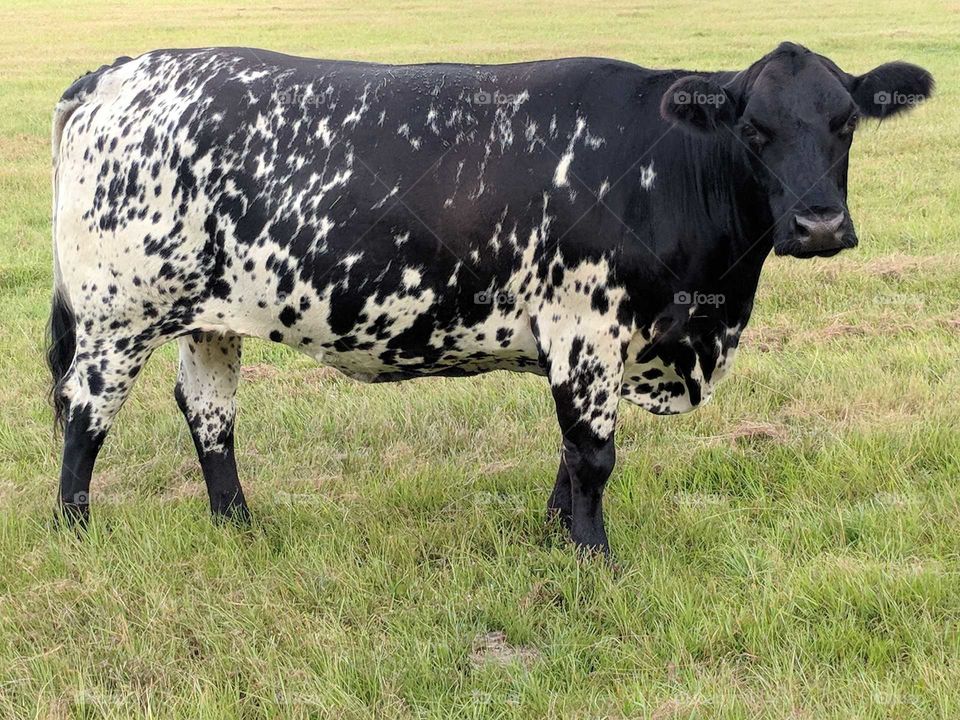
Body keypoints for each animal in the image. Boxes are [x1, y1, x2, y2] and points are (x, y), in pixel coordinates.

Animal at [47, 42, 932, 554]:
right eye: (754, 130)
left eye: (846, 123)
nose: (821, 224)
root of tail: (115, 75)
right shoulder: (586, 328)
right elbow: (594, 452)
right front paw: (592, 557)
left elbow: (572, 453)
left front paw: (552, 536)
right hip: (117, 314)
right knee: (86, 410)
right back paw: (75, 530)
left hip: (210, 316)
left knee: (208, 413)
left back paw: (238, 525)